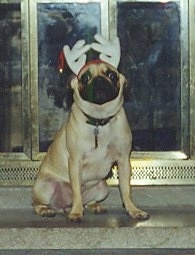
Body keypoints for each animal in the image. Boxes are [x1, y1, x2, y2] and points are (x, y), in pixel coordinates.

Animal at [32, 35, 149, 221]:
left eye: (112, 75)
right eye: (85, 78)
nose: (99, 80)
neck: (99, 121)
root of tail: (62, 206)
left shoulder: (123, 161)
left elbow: (126, 189)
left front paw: (132, 209)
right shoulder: (75, 162)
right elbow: (76, 191)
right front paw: (76, 212)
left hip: (102, 187)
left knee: (88, 201)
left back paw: (94, 206)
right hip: (44, 187)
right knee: (38, 203)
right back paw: (48, 210)